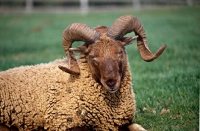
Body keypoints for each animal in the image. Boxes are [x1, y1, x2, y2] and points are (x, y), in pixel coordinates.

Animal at [0, 14, 166, 130]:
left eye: (120, 52)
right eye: (92, 56)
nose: (111, 82)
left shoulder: (123, 122)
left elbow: (139, 128)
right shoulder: (63, 123)